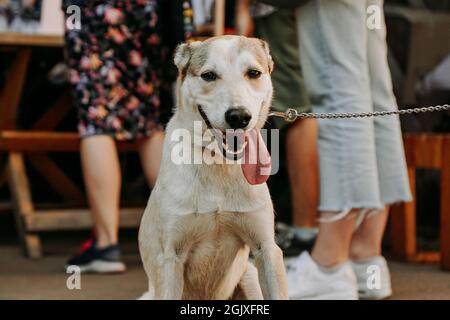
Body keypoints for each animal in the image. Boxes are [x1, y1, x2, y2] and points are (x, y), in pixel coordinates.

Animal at [139, 35, 288, 300]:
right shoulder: (171, 257)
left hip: (249, 275)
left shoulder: (267, 249)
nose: (239, 116)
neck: (218, 162)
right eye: (208, 75)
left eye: (253, 73)